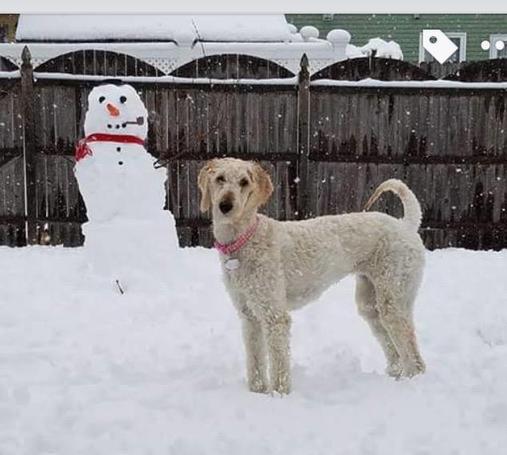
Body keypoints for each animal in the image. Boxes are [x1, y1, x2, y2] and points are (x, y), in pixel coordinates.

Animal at [198, 159, 424, 394]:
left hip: (394, 299)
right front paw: (257, 393)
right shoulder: (249, 315)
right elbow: (255, 362)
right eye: (220, 179)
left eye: (244, 182)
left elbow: (279, 365)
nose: (225, 206)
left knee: (415, 360)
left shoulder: (274, 315)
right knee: (395, 351)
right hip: (370, 303)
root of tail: (406, 224)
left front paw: (279, 395)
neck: (244, 239)